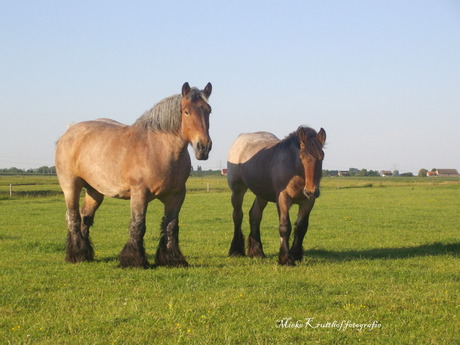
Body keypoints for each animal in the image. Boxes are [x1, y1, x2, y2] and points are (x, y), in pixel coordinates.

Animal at [55, 82, 212, 268]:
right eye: (186, 111)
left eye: (209, 110)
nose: (203, 147)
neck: (158, 148)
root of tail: (69, 132)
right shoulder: (139, 193)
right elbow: (138, 225)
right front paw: (133, 260)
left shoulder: (176, 196)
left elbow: (171, 226)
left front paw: (172, 259)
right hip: (71, 187)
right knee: (73, 217)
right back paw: (76, 254)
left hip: (94, 191)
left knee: (85, 217)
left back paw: (85, 254)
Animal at [228, 127, 326, 266]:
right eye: (301, 157)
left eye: (321, 157)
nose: (311, 191)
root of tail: (240, 138)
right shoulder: (283, 199)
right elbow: (285, 226)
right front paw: (285, 259)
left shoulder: (307, 202)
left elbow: (301, 227)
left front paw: (295, 255)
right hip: (237, 190)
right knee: (237, 216)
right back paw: (236, 250)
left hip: (261, 194)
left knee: (255, 216)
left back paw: (257, 252)